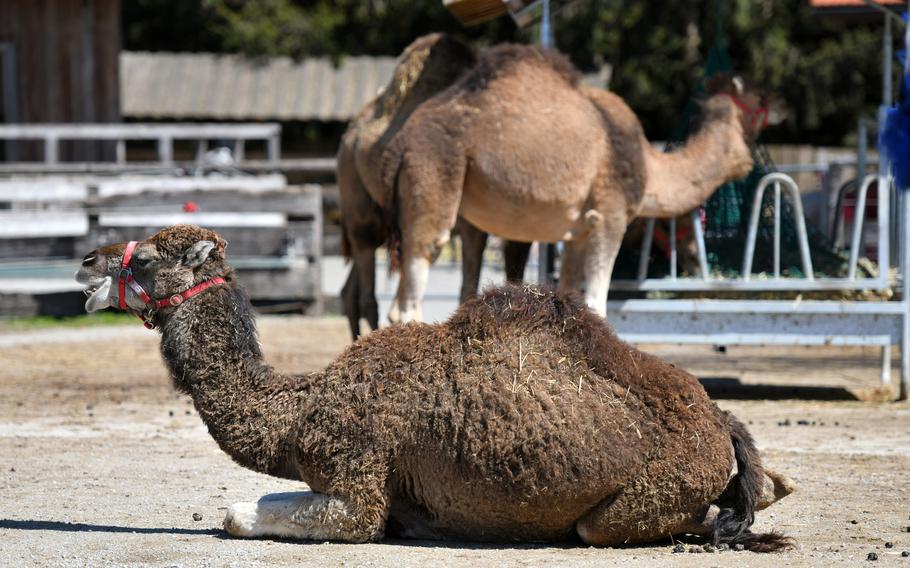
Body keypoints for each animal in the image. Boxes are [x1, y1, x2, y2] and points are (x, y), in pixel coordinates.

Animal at [75, 223, 796, 552]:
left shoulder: (358, 480)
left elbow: (240, 514)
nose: (85, 262)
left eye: (145, 257)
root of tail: (717, 423)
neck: (299, 407)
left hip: (631, 506)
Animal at [378, 43, 784, 322]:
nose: (785, 107)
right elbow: (598, 303)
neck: (649, 165)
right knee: (413, 288)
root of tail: (399, 148)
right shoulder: (611, 214)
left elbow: (572, 297)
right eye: (760, 96)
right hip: (434, 172)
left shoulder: (576, 232)